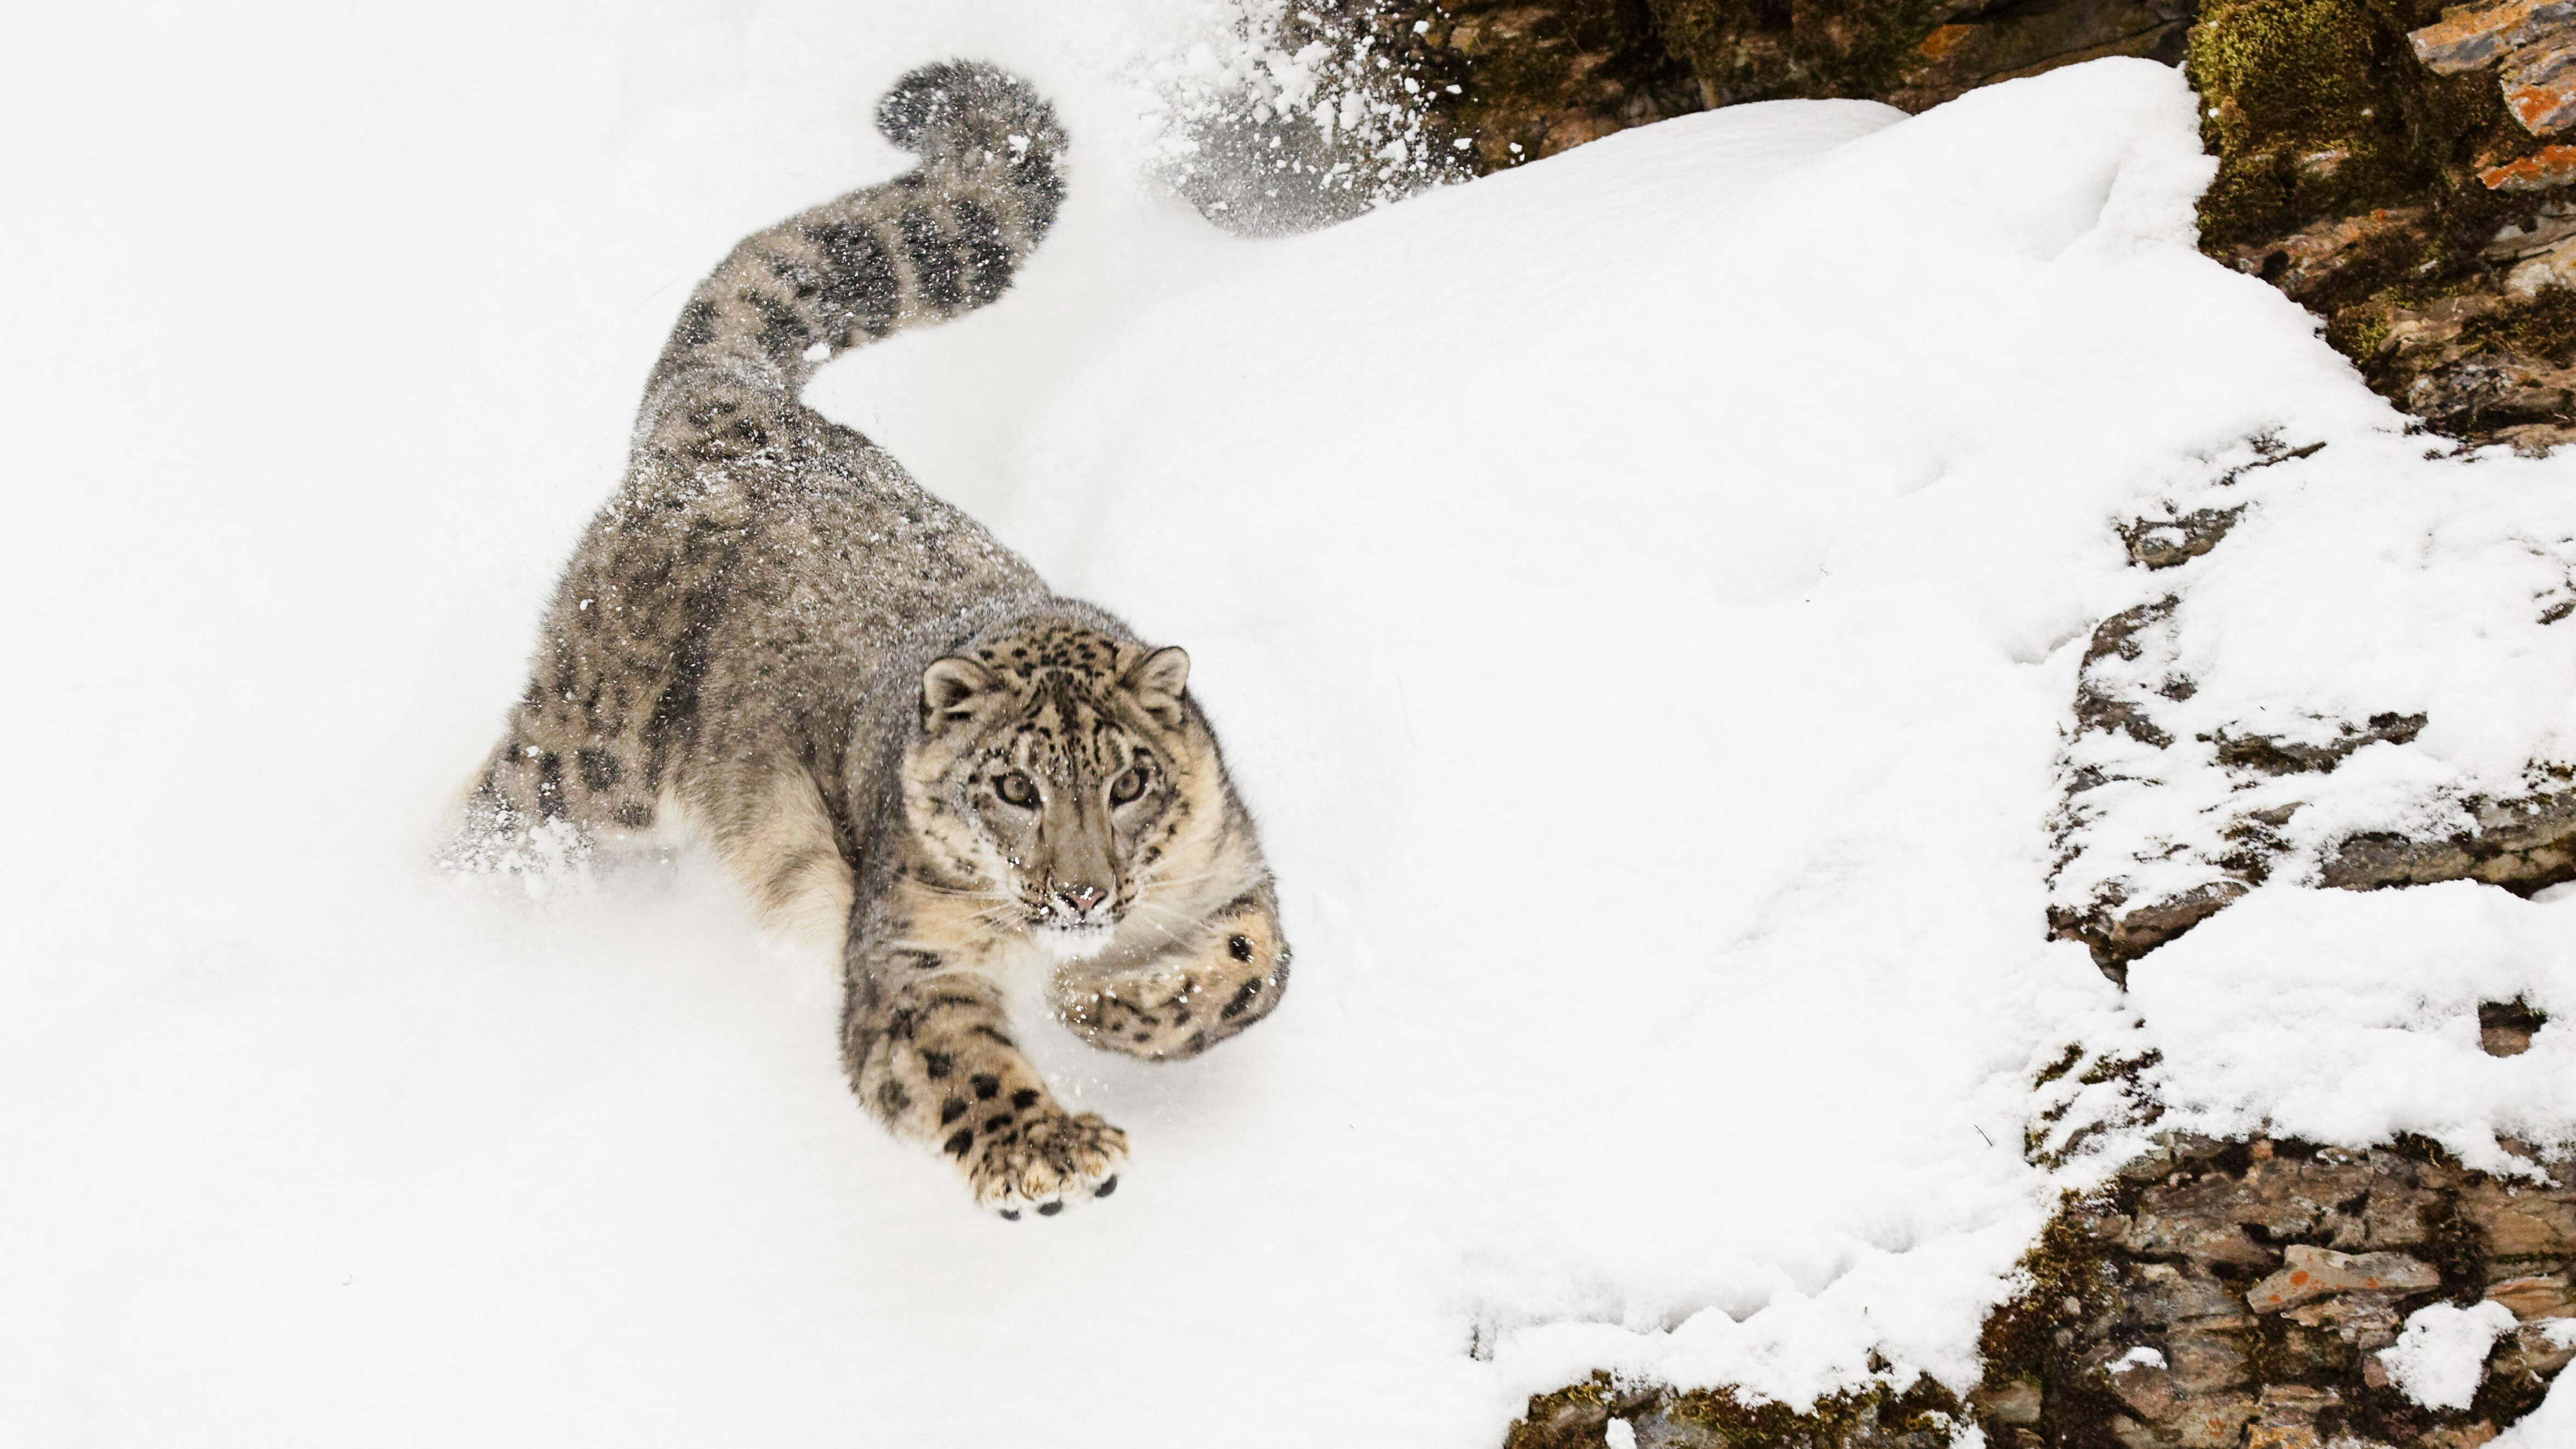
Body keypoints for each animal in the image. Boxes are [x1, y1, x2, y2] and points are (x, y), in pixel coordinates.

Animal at [450, 61, 1289, 1219]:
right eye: (1013, 787)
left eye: (1127, 782)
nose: (1080, 893)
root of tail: (737, 417)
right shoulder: (908, 955)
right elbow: (954, 1058)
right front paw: (1046, 1150)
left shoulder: (1231, 869)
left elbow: (1254, 965)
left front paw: (1106, 1005)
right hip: (592, 756)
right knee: (497, 815)